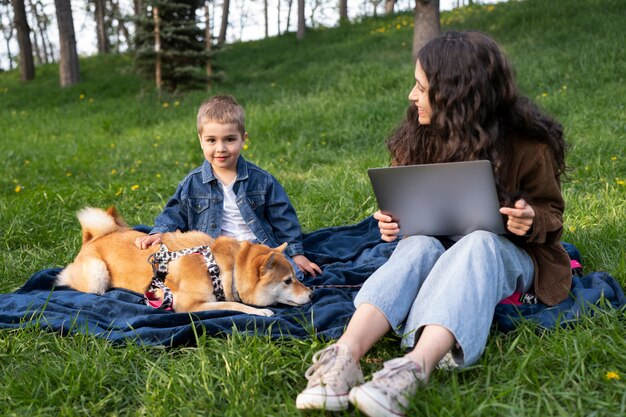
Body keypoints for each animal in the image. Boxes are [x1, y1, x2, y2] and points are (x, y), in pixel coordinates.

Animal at [57, 206, 312, 314]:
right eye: (287, 281)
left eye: (295, 277)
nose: (312, 294)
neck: (218, 269)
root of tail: (93, 238)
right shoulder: (187, 305)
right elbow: (233, 305)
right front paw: (262, 313)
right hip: (97, 276)